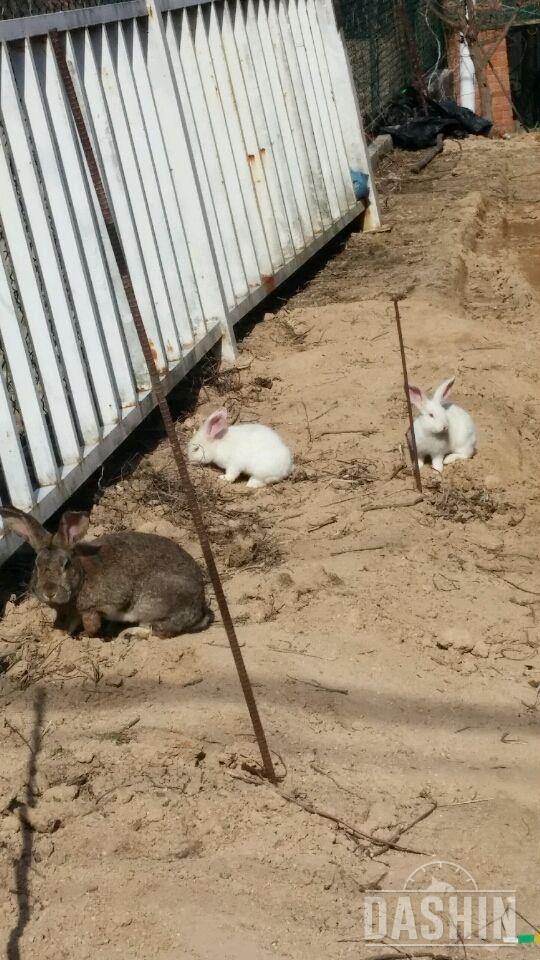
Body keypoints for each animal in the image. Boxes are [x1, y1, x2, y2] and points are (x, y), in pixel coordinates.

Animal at [1, 506, 213, 640]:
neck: (82, 577)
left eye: (66, 565)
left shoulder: (91, 609)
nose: (49, 591)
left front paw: (84, 637)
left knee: (157, 630)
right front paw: (56, 636)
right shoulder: (72, 612)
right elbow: (69, 624)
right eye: (36, 565)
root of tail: (199, 608)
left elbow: (92, 626)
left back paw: (128, 634)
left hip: (152, 603)